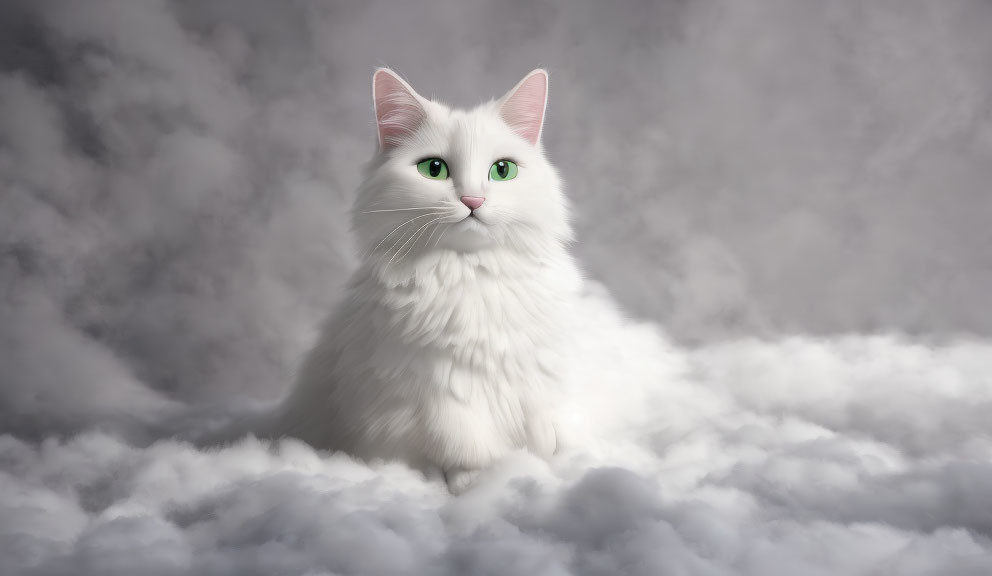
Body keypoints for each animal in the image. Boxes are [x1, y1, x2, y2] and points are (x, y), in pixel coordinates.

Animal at [272, 66, 580, 490]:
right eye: (433, 169)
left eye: (502, 171)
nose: (473, 201)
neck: (470, 272)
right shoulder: (437, 387)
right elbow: (463, 445)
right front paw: (471, 482)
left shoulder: (527, 377)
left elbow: (538, 434)